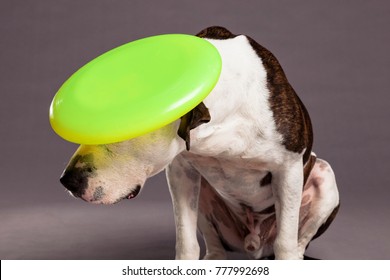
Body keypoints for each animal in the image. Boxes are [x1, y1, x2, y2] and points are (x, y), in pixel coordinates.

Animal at [59, 26, 340, 260]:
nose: (67, 181)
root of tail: (254, 245)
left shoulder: (288, 168)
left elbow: (286, 240)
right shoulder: (181, 171)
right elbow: (186, 238)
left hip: (324, 177)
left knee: (297, 241)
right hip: (206, 193)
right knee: (214, 242)